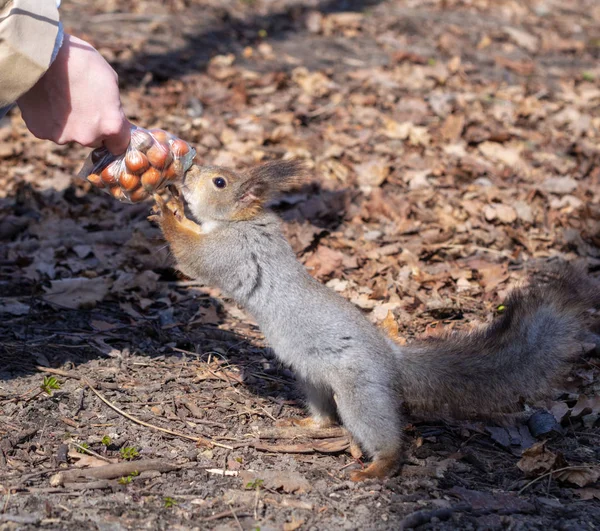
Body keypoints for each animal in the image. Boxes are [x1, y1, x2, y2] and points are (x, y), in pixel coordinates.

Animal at [150, 158, 600, 482]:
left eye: (219, 181)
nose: (187, 171)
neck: (241, 221)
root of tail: (392, 360)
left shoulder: (233, 250)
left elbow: (193, 256)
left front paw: (167, 206)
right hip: (314, 379)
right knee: (325, 415)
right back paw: (305, 425)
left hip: (361, 391)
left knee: (383, 435)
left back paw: (377, 468)